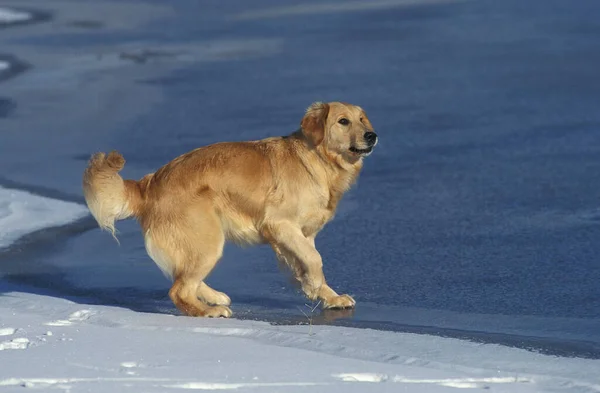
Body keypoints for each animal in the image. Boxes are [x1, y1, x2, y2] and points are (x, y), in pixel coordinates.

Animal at [82, 101, 378, 316]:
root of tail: (149, 182)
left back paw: (212, 297)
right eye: (343, 121)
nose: (372, 135)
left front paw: (326, 294)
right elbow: (315, 259)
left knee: (181, 277)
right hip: (208, 240)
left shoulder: (302, 235)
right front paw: (315, 286)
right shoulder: (280, 224)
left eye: (362, 119)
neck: (316, 161)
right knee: (179, 290)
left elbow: (307, 260)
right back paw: (207, 311)